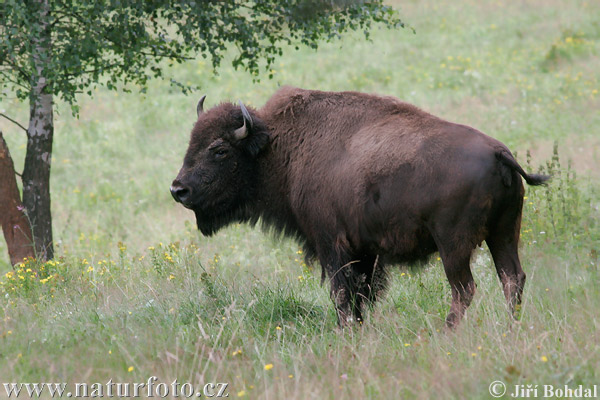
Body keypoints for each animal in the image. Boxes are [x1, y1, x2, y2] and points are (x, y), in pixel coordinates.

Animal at [170, 86, 548, 326]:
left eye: (219, 149)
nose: (178, 189)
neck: (278, 148)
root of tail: (499, 152)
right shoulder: (366, 252)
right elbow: (361, 295)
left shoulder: (332, 245)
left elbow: (343, 295)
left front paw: (346, 330)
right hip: (504, 233)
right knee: (512, 278)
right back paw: (511, 328)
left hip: (453, 244)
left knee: (464, 288)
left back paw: (448, 331)